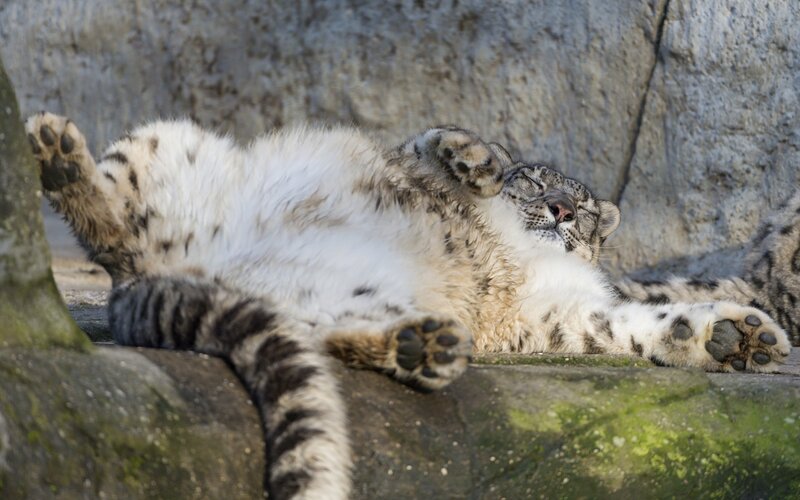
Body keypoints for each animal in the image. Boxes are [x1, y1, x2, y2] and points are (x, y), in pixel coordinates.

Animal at [26, 112, 792, 499]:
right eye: (535, 182)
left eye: (579, 210)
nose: (561, 209)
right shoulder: (415, 163)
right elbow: (427, 143)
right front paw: (476, 159)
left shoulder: (561, 312)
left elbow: (626, 327)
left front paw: (734, 338)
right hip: (165, 145)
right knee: (113, 224)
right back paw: (57, 151)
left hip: (335, 296)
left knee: (323, 335)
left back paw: (423, 347)